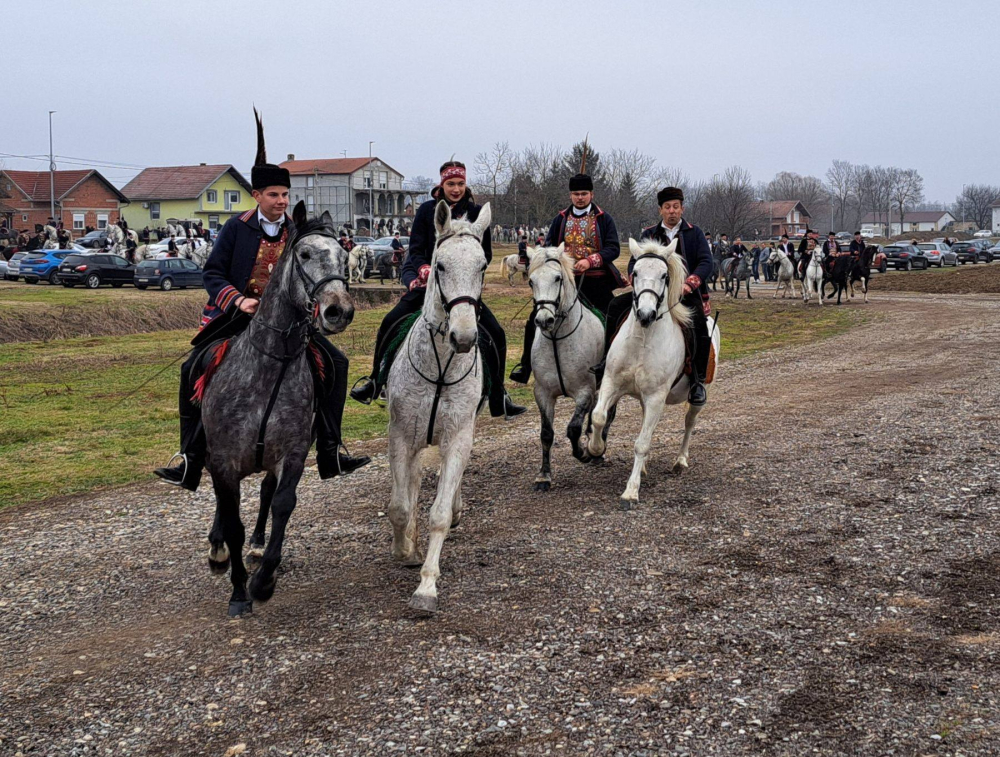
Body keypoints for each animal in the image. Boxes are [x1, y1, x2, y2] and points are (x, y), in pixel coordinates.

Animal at [384, 198, 490, 612]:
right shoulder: (401, 435)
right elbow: (400, 507)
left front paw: (427, 587)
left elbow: (440, 513)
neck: (441, 365)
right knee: (410, 484)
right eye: (440, 265)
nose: (464, 337)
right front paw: (405, 551)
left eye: (482, 265)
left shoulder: (459, 435)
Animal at [524, 244, 600, 490]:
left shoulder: (584, 391)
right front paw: (544, 475)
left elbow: (573, 428)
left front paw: (583, 453)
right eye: (531, 281)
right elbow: (547, 433)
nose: (543, 320)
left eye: (557, 278)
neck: (558, 338)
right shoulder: (543, 393)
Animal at [584, 236, 720, 508]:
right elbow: (599, 416)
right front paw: (595, 448)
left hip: (696, 397)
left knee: (689, 422)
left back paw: (680, 461)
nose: (645, 314)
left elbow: (642, 443)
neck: (642, 340)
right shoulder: (611, 383)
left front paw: (631, 490)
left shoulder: (657, 397)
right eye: (635, 272)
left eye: (664, 275)